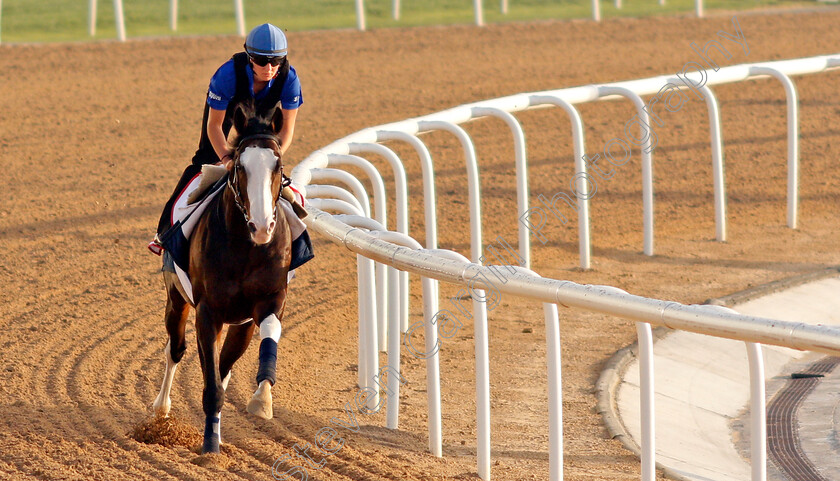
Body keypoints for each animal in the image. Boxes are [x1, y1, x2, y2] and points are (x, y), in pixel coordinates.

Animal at [151, 103, 292, 452]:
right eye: (240, 166)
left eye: (278, 165)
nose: (261, 226)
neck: (247, 247)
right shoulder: (208, 311)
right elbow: (211, 383)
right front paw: (210, 449)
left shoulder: (266, 303)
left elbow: (264, 338)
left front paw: (262, 401)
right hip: (176, 297)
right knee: (176, 348)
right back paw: (161, 410)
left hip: (239, 323)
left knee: (223, 365)